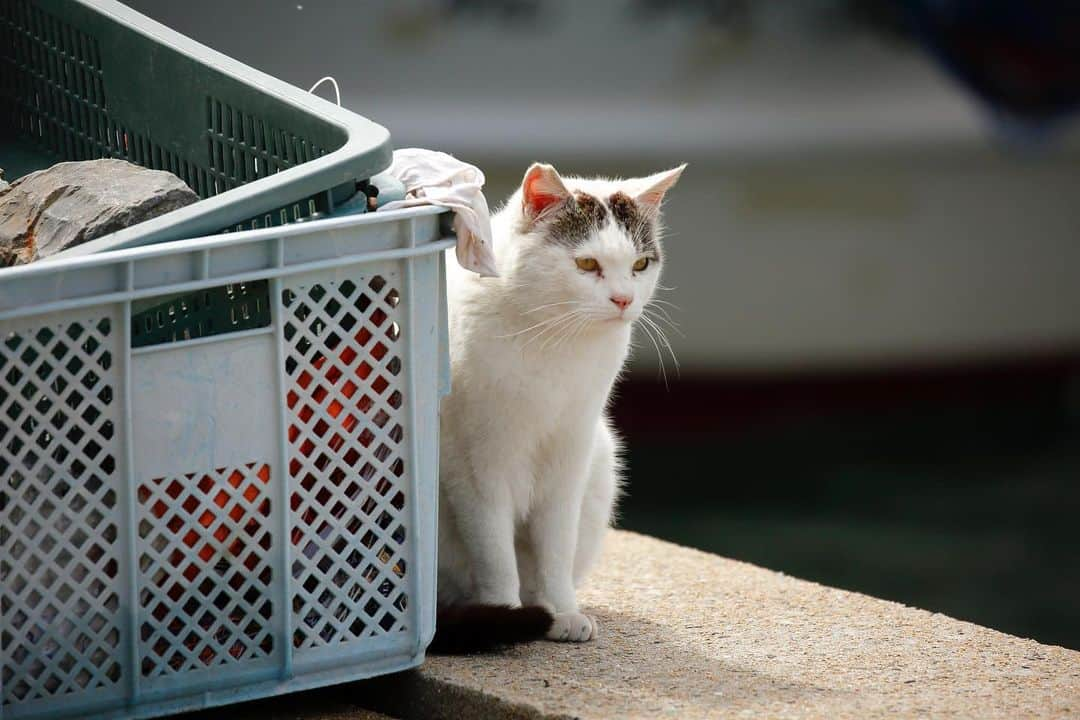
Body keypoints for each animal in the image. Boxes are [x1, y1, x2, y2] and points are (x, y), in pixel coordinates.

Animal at [429, 161, 682, 651]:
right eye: (586, 264)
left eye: (640, 264)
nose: (624, 300)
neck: (553, 338)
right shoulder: (476, 467)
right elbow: (494, 550)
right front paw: (506, 613)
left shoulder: (571, 454)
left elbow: (556, 545)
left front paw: (561, 611)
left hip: (602, 458)